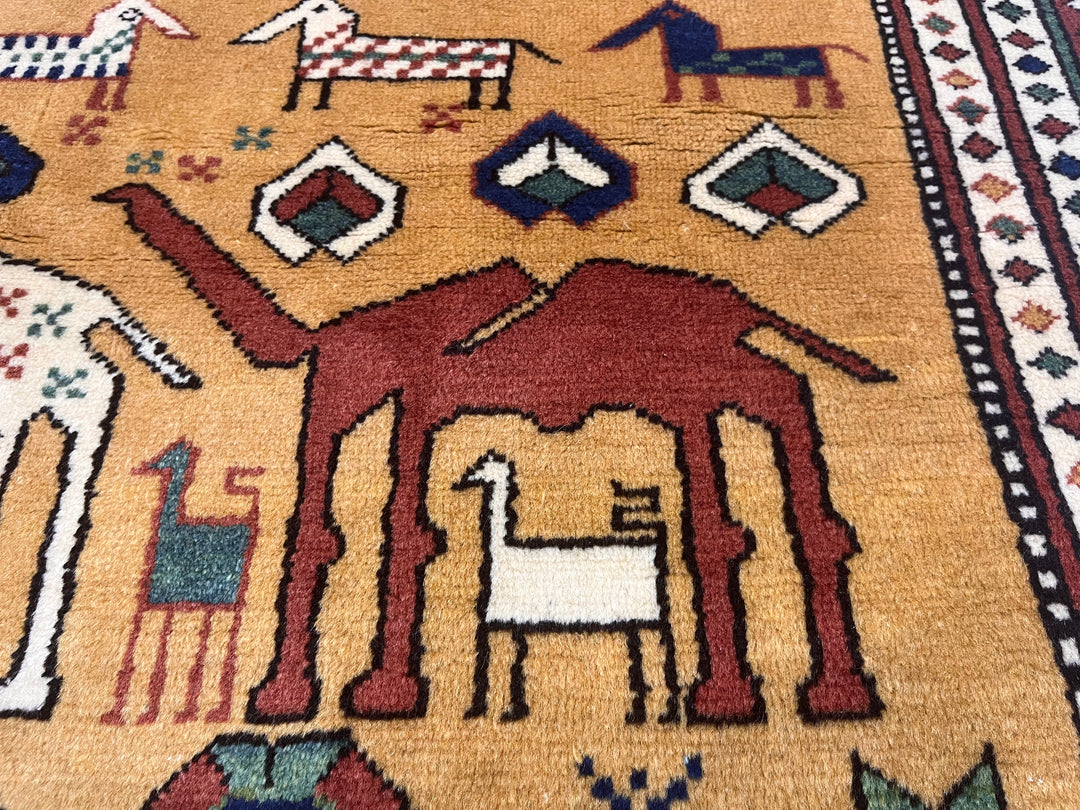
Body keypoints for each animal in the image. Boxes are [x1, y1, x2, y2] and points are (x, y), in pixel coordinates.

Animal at [0, 0, 194, 111]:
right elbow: (116, 87)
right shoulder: (112, 70)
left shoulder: (109, 72)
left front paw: (101, 106)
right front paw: (112, 106)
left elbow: (105, 88)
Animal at [98, 182, 892, 726]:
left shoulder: (388, 389)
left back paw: (800, 689)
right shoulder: (389, 395)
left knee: (778, 396)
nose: (113, 195)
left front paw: (361, 694)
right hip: (709, 370)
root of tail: (737, 299)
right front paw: (316, 695)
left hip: (698, 370)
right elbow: (360, 529)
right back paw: (814, 682)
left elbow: (383, 527)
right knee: (779, 392)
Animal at [232, 0, 559, 112]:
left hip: (498, 70)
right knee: (478, 87)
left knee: (500, 86)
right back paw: (475, 105)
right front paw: (315, 107)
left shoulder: (315, 71)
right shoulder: (323, 72)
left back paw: (499, 106)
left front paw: (293, 106)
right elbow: (320, 90)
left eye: (319, 8)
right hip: (482, 72)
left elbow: (302, 90)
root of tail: (509, 39)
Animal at [591, 1, 868, 108]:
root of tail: (822, 45)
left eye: (658, 14)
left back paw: (832, 104)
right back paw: (805, 105)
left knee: (830, 83)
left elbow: (684, 86)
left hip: (816, 71)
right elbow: (709, 85)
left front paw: (675, 100)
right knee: (806, 87)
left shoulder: (684, 71)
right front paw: (708, 100)